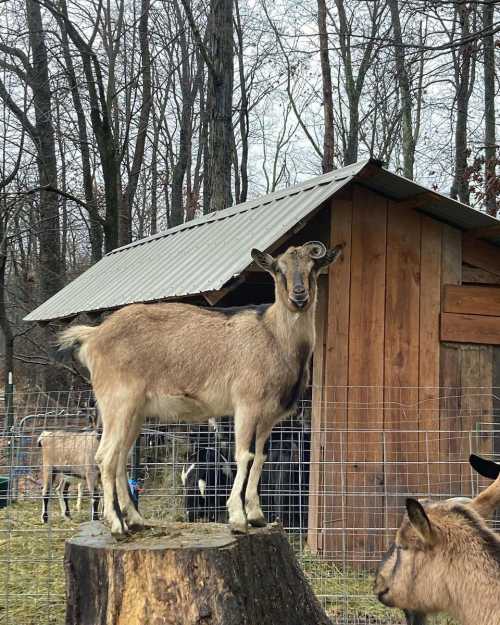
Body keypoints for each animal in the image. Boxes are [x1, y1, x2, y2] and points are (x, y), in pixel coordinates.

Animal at [56, 241, 342, 532]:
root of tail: (93, 336)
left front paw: (256, 515)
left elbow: (261, 458)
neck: (273, 335)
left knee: (120, 457)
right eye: (279, 270)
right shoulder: (246, 405)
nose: (299, 296)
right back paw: (117, 524)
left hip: (134, 413)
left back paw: (136, 520)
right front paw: (238, 517)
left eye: (313, 267)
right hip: (118, 403)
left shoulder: (268, 416)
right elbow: (245, 456)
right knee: (105, 457)